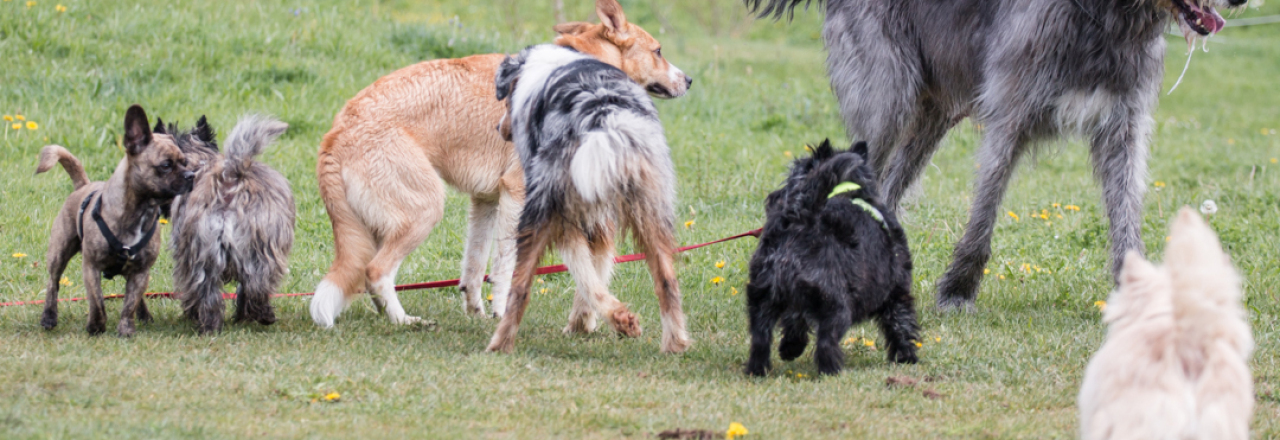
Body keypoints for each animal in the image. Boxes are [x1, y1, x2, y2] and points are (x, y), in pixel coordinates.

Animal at [36, 105, 194, 337]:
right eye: (166, 165)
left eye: (185, 162)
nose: (191, 175)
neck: (140, 209)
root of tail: (83, 185)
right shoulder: (91, 268)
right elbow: (97, 302)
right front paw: (96, 327)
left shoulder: (141, 271)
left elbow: (129, 303)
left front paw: (126, 330)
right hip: (59, 251)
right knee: (53, 283)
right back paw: (49, 316)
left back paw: (143, 315)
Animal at [309, 0, 691, 326]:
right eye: (658, 51)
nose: (688, 80)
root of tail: (335, 133)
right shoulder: (516, 194)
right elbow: (507, 265)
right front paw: (502, 309)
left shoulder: (487, 201)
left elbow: (475, 266)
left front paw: (476, 310)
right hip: (425, 210)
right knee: (377, 273)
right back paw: (404, 321)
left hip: (377, 227)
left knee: (364, 277)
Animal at [747, 0, 1244, 309]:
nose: (1239, 1)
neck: (1104, 16)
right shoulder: (1011, 111)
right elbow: (985, 208)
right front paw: (958, 290)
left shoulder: (1123, 126)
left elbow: (1126, 211)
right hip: (886, 96)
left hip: (931, 113)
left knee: (887, 189)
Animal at [747, 140, 916, 373]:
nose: (773, 198)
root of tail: (802, 217)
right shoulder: (897, 289)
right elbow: (901, 322)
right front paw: (906, 356)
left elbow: (795, 319)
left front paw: (791, 347)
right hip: (835, 304)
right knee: (827, 341)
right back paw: (832, 371)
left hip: (762, 295)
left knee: (760, 338)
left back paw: (758, 370)